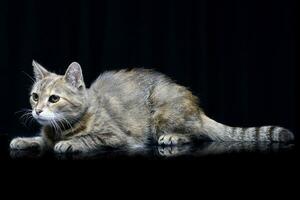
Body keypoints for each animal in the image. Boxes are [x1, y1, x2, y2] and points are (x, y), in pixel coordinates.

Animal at [10, 59, 294, 153]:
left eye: (54, 99)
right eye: (35, 96)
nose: (37, 110)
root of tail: (198, 111)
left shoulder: (116, 137)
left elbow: (90, 138)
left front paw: (69, 143)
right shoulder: (46, 133)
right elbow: (41, 140)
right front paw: (24, 140)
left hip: (163, 108)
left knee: (195, 133)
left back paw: (173, 137)